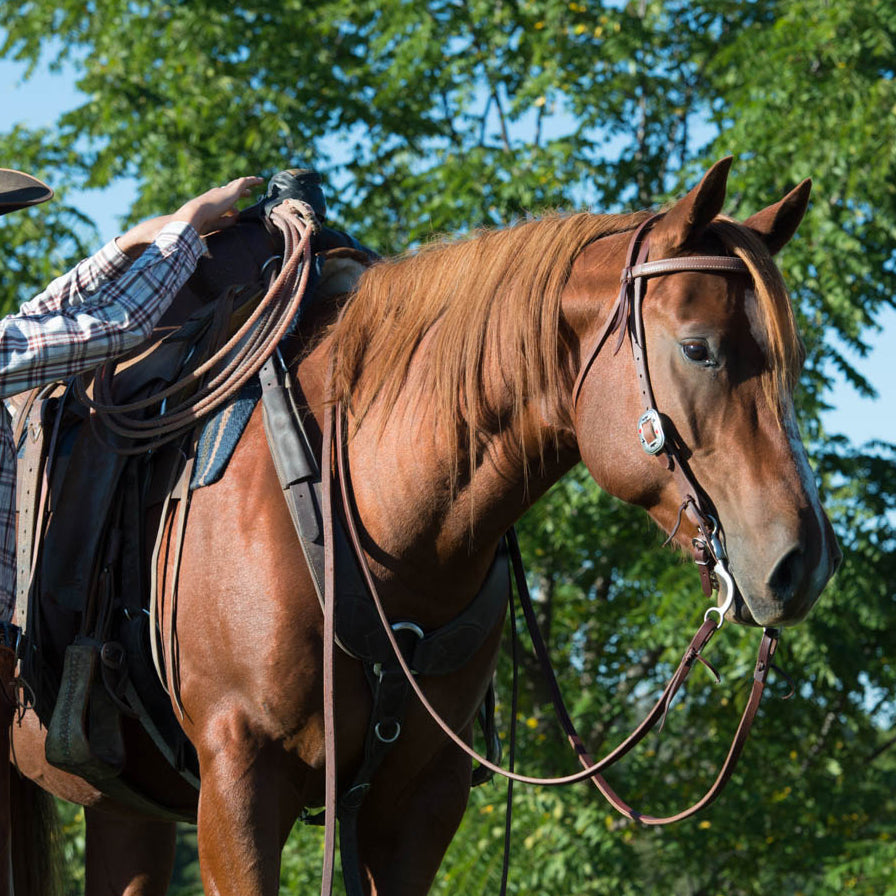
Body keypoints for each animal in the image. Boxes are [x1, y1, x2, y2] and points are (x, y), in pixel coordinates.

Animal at [9, 157, 840, 895]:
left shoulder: (418, 803)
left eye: (792, 360)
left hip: (126, 806)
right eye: (698, 348)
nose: (802, 562)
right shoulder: (240, 779)